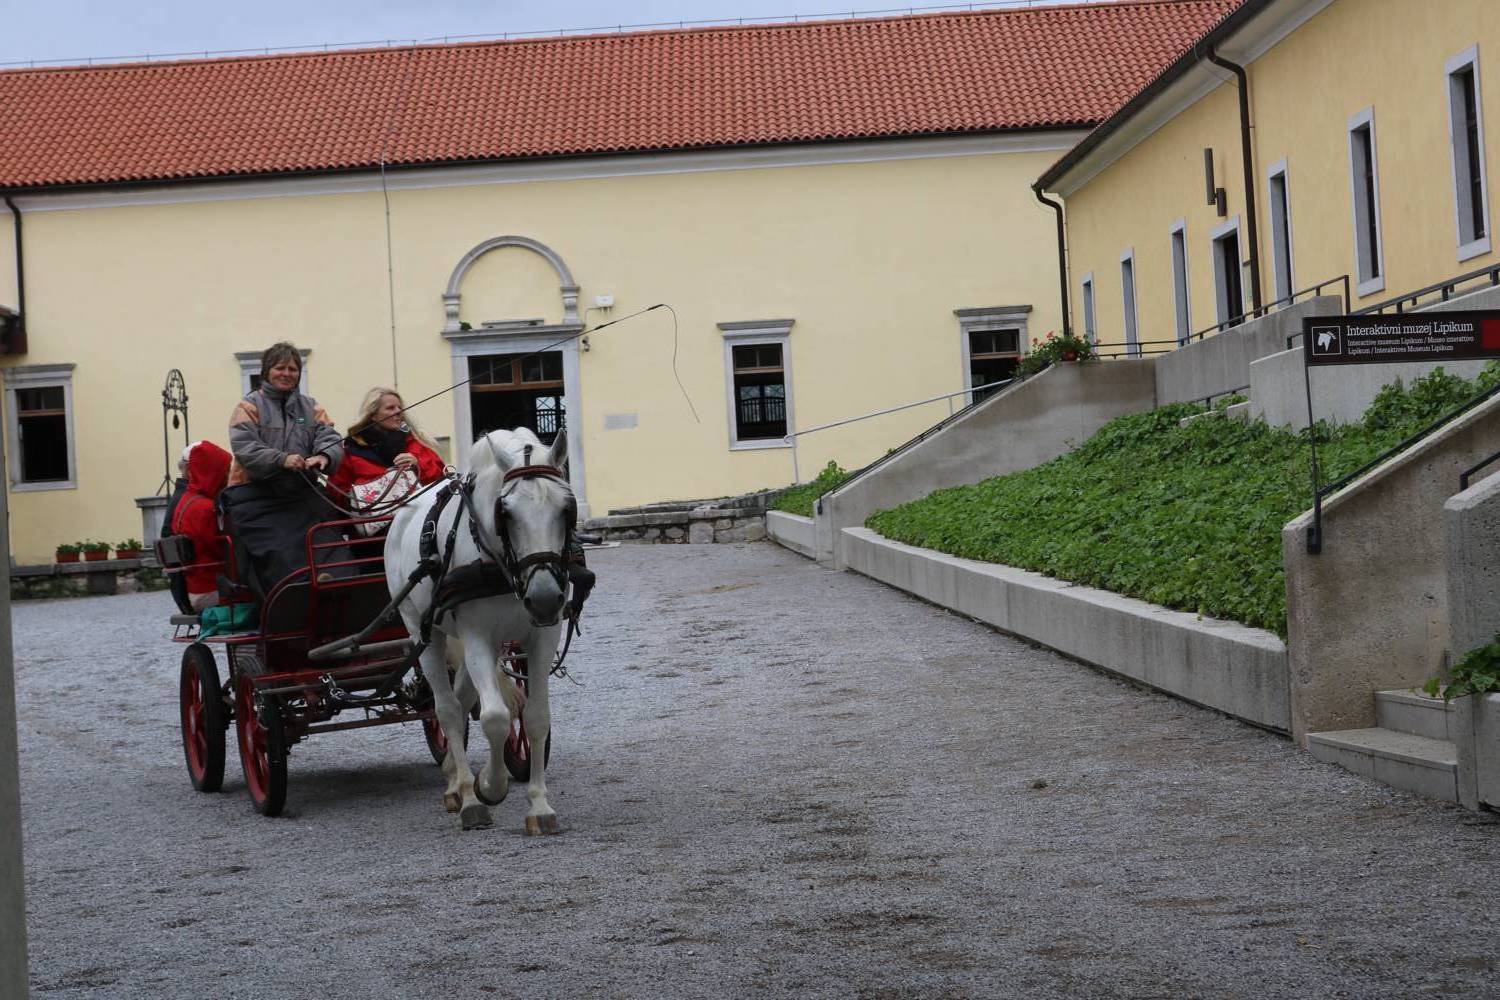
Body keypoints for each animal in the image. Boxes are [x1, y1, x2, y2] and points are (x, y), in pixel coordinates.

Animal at [387, 425, 573, 833]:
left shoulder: (541, 636)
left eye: (566, 508)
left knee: (461, 699)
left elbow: (535, 717)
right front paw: (488, 787)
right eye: (506, 512)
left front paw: (539, 806)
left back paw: (455, 779)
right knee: (446, 709)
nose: (544, 598)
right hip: (423, 630)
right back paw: (466, 795)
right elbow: (495, 717)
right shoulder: (476, 637)